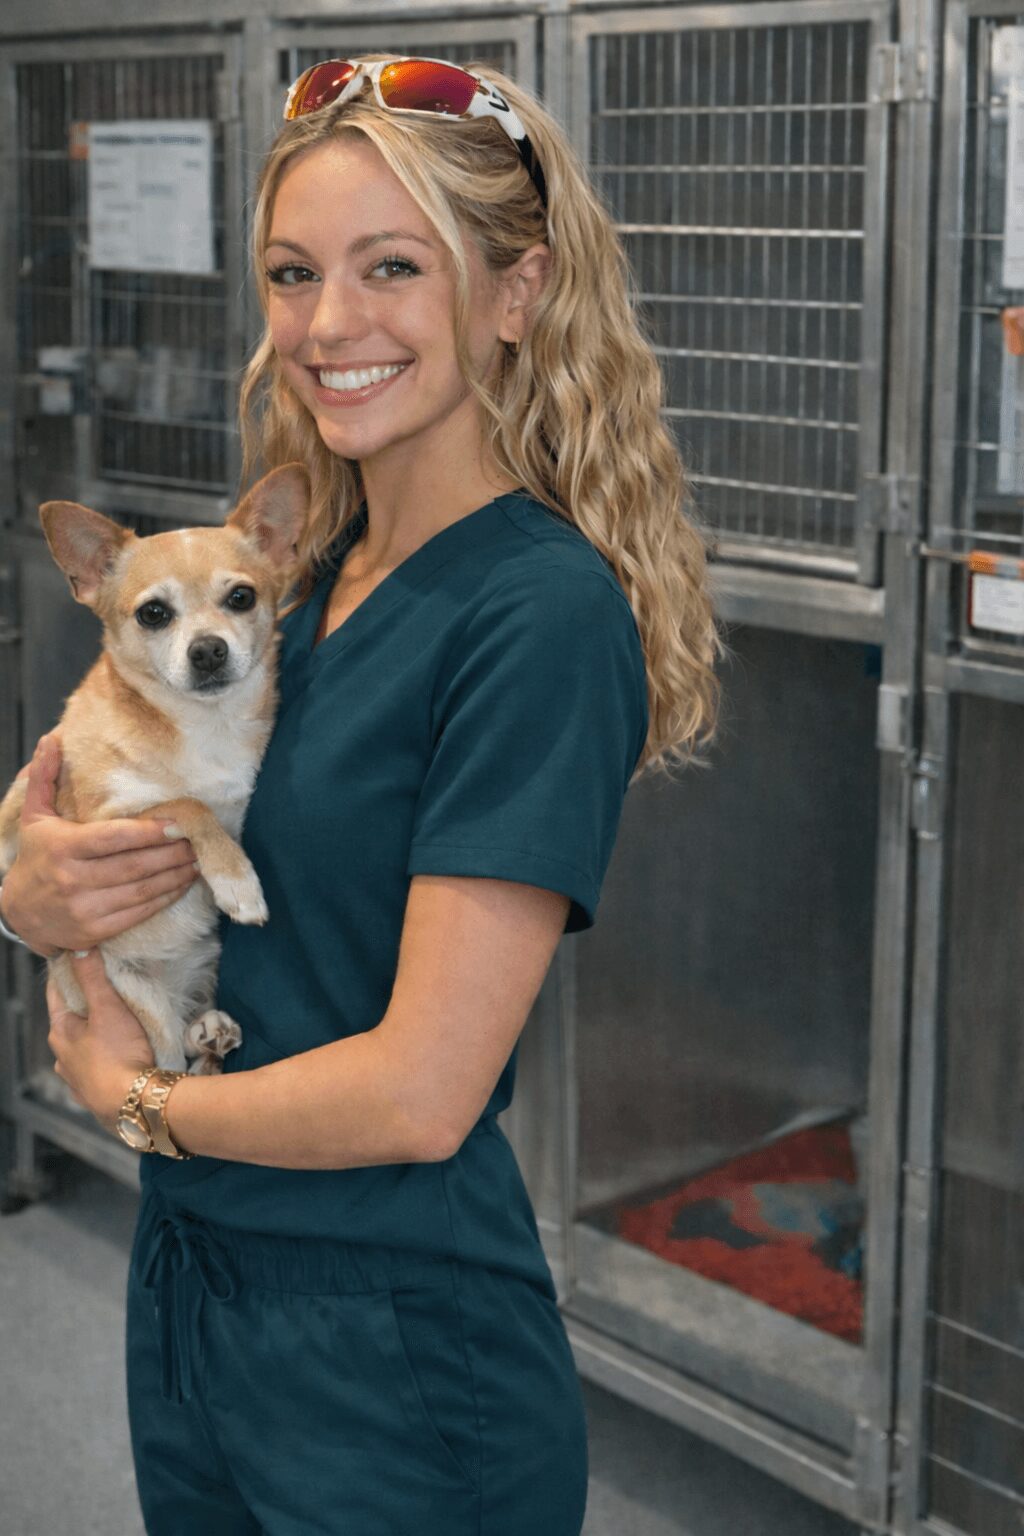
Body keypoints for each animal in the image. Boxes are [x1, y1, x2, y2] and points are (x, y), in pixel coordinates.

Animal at [0, 463, 310, 1075]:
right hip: (138, 1001)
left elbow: (209, 807)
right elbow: (187, 804)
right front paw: (238, 883)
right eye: (153, 614)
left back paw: (210, 1031)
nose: (208, 650)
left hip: (206, 968)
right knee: (170, 1061)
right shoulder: (102, 823)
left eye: (241, 597)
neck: (202, 727)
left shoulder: (236, 800)